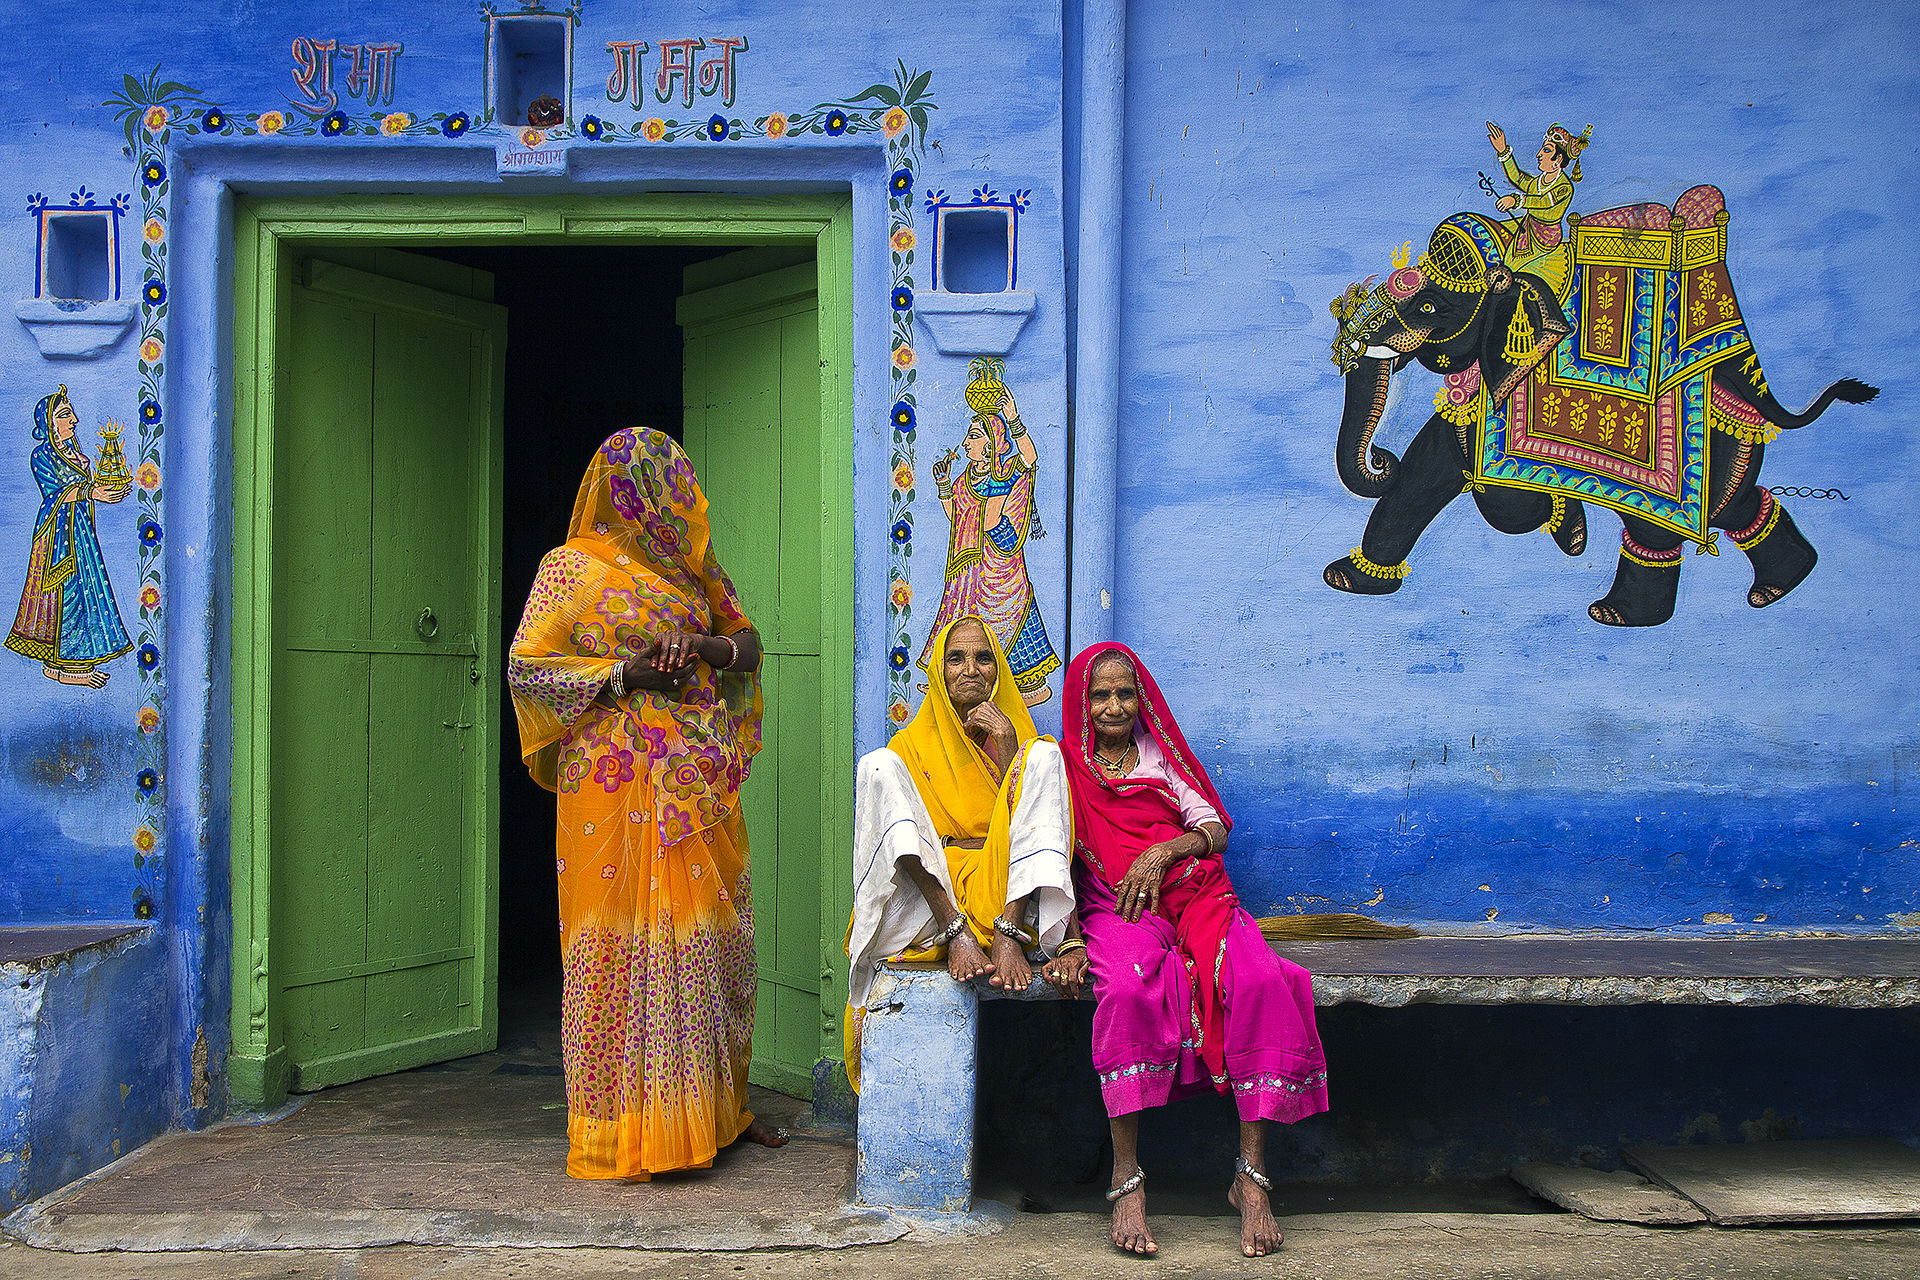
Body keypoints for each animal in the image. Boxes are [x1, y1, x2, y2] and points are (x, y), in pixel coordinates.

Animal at [1323, 215, 1878, 626]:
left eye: (1429, 306)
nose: (1381, 456)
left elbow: (1505, 503)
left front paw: (1566, 530)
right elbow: (1423, 478)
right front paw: (1346, 580)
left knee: (1671, 524)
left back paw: (1619, 615)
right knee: (1735, 504)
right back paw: (1779, 586)